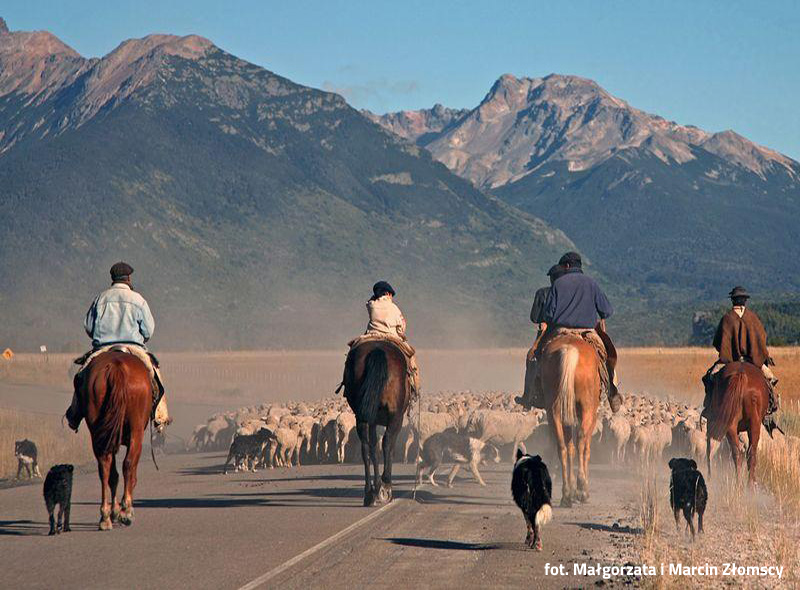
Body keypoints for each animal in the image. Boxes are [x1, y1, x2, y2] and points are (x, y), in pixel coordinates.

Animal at [75, 352, 152, 532]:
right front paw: (122, 510)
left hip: (98, 431)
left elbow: (113, 475)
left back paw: (104, 517)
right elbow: (129, 473)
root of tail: (116, 367)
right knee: (128, 464)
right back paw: (126, 512)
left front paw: (114, 511)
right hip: (136, 430)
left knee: (104, 467)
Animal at [342, 342, 412, 508]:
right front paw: (383, 486)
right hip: (395, 416)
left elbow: (374, 448)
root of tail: (377, 350)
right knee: (387, 443)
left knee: (365, 447)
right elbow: (389, 447)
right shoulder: (397, 419)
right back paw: (385, 486)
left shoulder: (372, 420)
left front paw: (376, 486)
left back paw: (369, 493)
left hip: (362, 416)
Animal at [536, 336, 600, 506]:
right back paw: (582, 488)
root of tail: (569, 350)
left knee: (562, 447)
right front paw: (579, 490)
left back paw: (566, 495)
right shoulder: (592, 415)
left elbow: (570, 447)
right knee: (581, 441)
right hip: (587, 408)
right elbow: (585, 449)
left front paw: (571, 490)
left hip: (554, 410)